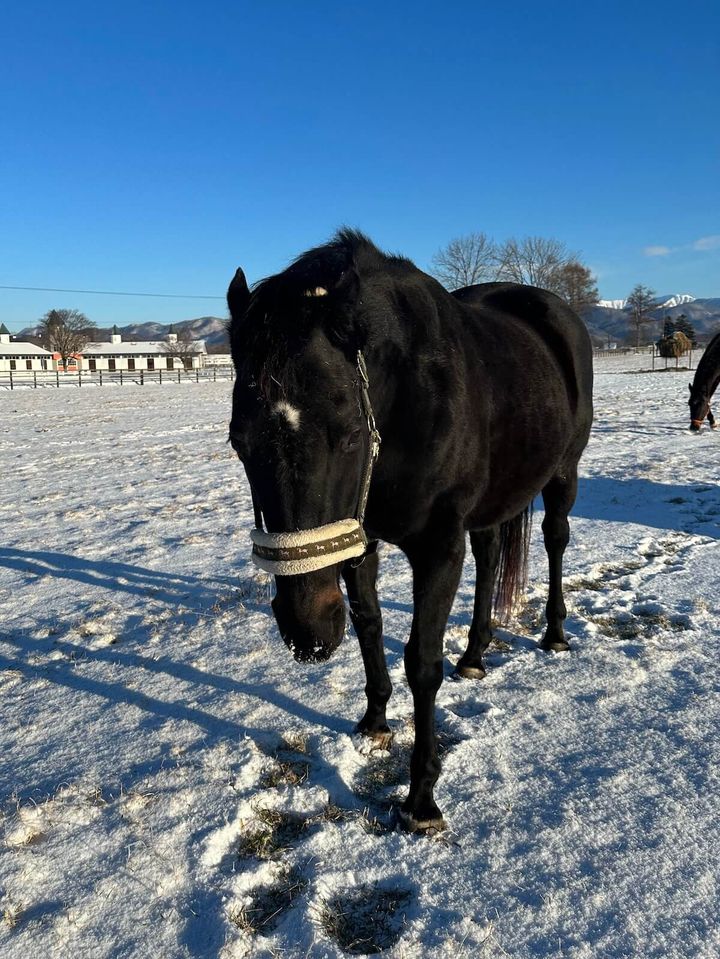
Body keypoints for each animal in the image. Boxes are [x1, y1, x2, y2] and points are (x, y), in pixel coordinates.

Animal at [227, 230, 594, 833]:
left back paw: (555, 634)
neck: (405, 401)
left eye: (350, 434)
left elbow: (422, 662)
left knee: (555, 540)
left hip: (564, 473)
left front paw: (421, 799)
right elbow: (369, 625)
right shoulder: (359, 536)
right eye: (239, 442)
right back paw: (475, 654)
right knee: (490, 553)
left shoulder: (438, 547)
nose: (308, 631)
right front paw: (374, 721)